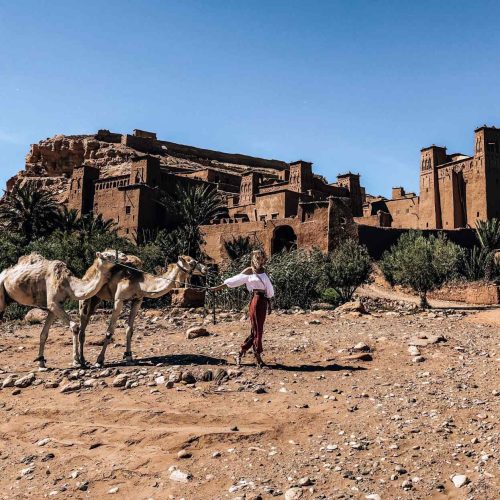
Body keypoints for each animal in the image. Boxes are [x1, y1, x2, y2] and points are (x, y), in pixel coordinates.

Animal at [78, 254, 207, 368]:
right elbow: (110, 331)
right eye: (192, 262)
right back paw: (81, 361)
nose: (205, 269)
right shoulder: (119, 300)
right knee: (82, 325)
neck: (140, 283)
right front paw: (99, 361)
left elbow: (129, 330)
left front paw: (129, 358)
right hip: (87, 296)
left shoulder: (137, 300)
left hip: (96, 299)